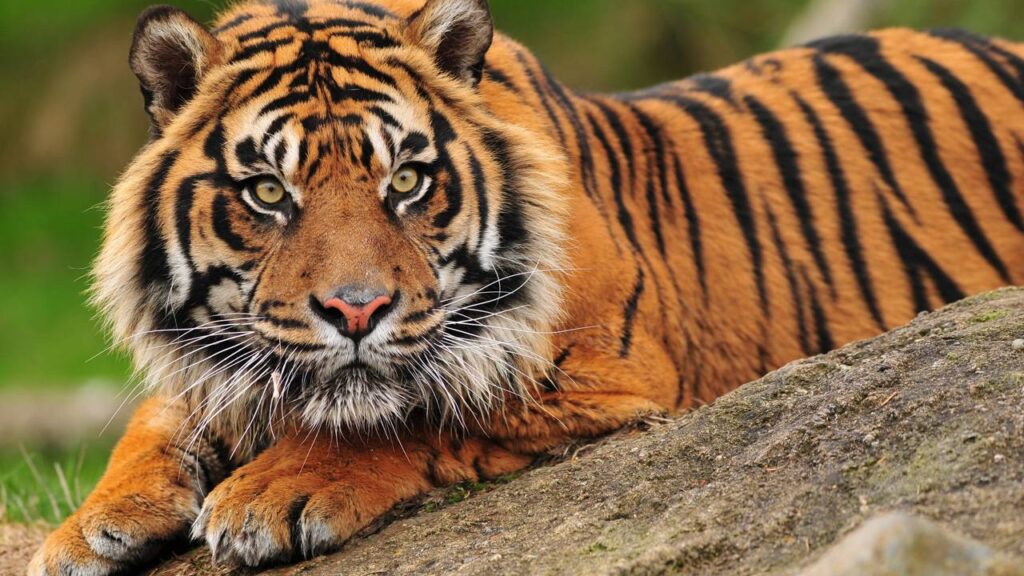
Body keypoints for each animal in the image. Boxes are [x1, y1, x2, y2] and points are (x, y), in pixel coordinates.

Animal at [29, 0, 1024, 573]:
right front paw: (90, 527)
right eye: (269, 192)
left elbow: (417, 412)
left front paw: (273, 494)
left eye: (407, 181)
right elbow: (162, 414)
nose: (356, 311)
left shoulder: (601, 377)